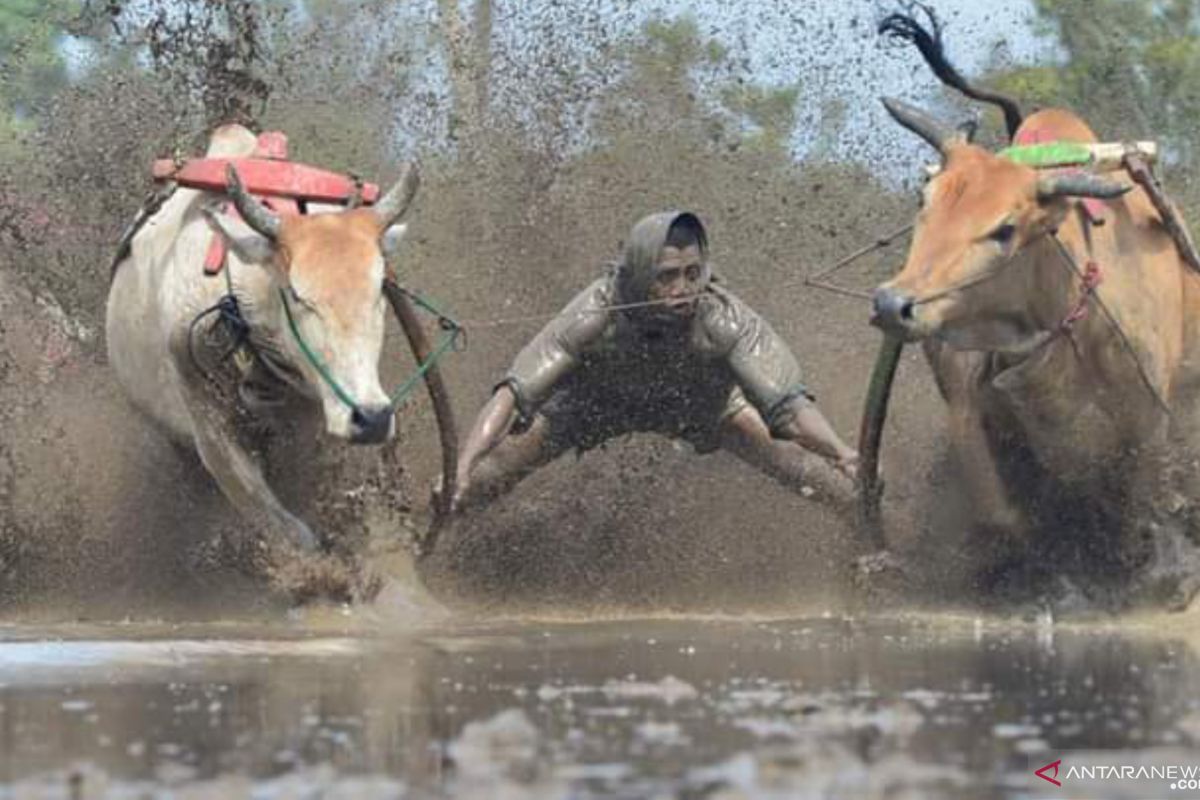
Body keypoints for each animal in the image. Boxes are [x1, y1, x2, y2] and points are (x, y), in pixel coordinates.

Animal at [873, 95, 1200, 544]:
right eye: (924, 200)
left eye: (1005, 229)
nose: (893, 304)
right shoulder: (968, 412)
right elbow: (1001, 516)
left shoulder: (1149, 428)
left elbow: (1143, 521)